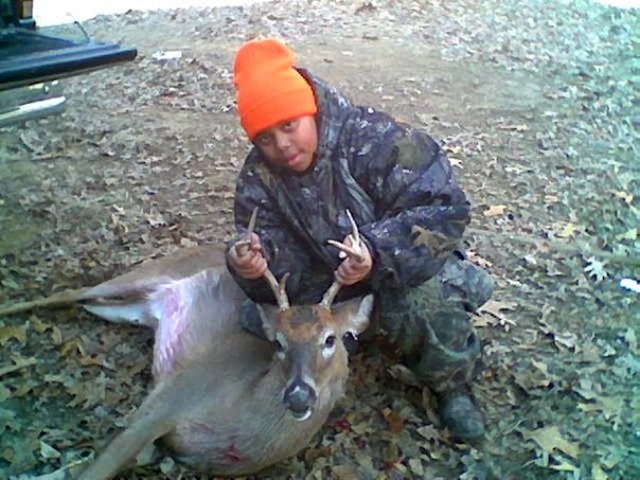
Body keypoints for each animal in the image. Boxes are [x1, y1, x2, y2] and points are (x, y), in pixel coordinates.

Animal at [0, 210, 373, 479]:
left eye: (330, 338)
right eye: (277, 342)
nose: (298, 395)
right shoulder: (170, 395)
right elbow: (95, 471)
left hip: (129, 310)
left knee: (84, 302)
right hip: (147, 273)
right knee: (67, 293)